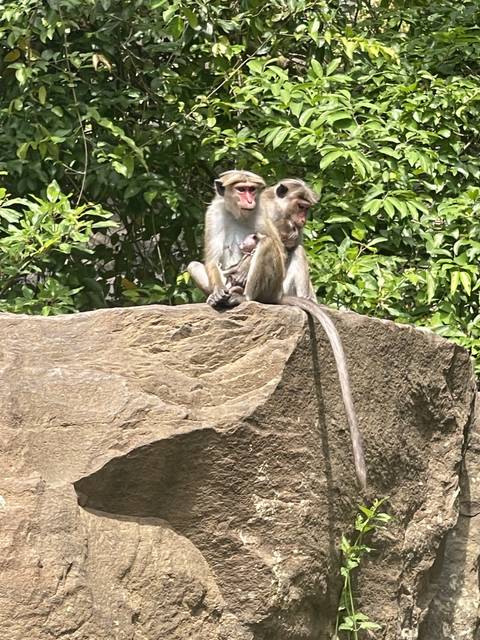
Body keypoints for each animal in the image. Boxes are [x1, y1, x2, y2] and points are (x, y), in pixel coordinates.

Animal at [187, 170, 285, 307]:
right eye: (241, 189)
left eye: (251, 189)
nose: (250, 201)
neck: (236, 214)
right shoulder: (213, 213)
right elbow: (212, 260)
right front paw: (218, 291)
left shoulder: (261, 212)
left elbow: (281, 252)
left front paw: (245, 267)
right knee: (193, 265)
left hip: (273, 289)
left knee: (267, 243)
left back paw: (245, 297)